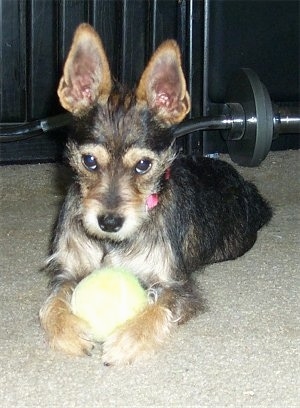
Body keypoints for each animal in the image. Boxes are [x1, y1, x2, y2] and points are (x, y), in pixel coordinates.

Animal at [39, 23, 272, 364]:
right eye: (89, 161)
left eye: (143, 165)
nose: (110, 222)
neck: (112, 244)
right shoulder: (66, 272)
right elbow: (52, 302)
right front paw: (68, 332)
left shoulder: (177, 286)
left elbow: (158, 308)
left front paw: (126, 340)